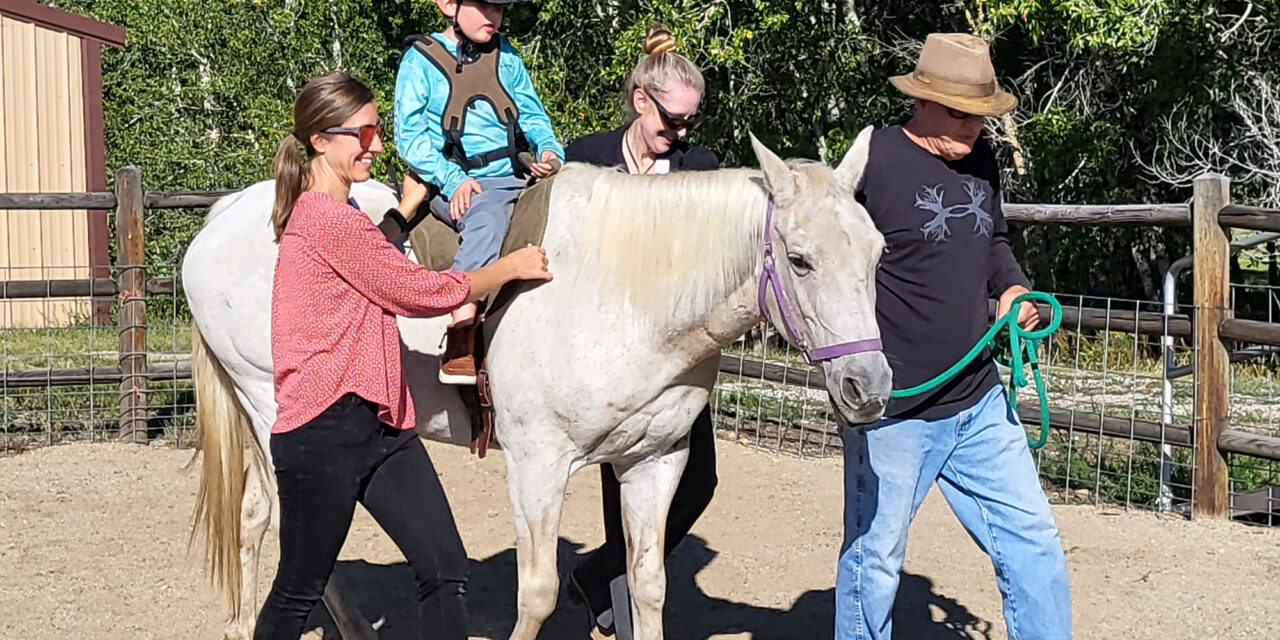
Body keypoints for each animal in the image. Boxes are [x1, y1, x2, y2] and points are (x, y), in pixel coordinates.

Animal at [185, 129, 890, 640]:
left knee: (255, 516)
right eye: (799, 260)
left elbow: (647, 584)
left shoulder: (654, 461)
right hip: (275, 407)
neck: (624, 292)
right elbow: (539, 594)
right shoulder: (536, 466)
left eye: (878, 251)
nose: (870, 384)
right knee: (294, 530)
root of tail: (222, 217)